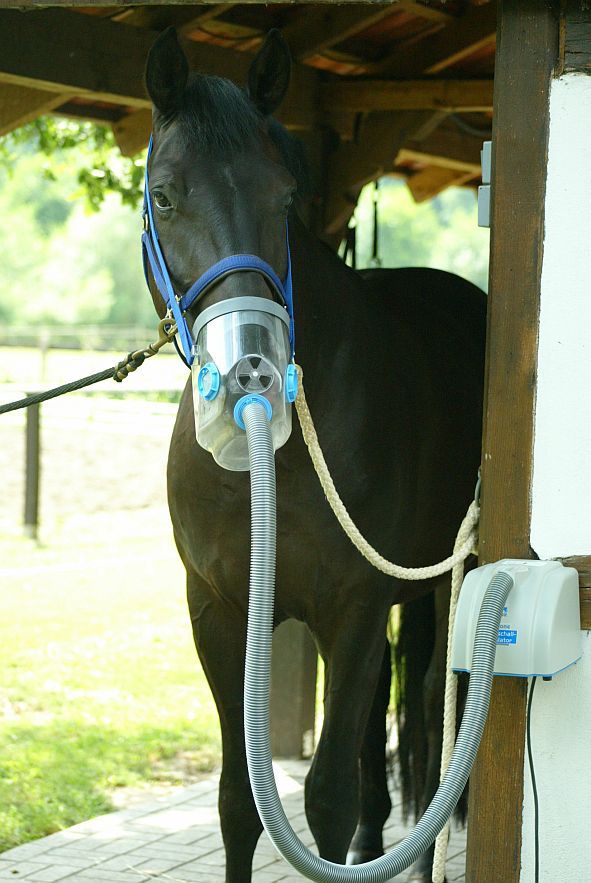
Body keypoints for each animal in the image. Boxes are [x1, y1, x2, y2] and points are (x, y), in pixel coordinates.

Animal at [143, 27, 486, 883]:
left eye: (283, 198)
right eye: (164, 196)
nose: (250, 371)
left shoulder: (353, 607)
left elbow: (323, 797)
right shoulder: (219, 611)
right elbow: (239, 797)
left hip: (440, 582)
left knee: (429, 705)